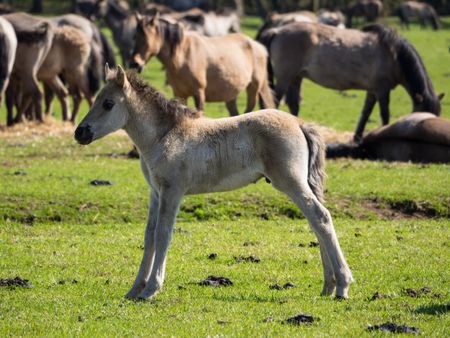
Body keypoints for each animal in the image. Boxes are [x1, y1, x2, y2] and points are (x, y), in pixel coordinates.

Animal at [74, 64, 356, 300]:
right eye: (96, 100)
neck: (165, 135)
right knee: (316, 222)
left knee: (320, 217)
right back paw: (328, 285)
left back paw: (342, 285)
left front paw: (151, 289)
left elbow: (163, 234)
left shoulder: (172, 192)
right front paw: (135, 289)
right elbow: (150, 235)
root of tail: (299, 123)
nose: (80, 133)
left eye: (108, 103)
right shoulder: (155, 192)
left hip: (290, 182)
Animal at [130, 13, 274, 116]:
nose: (135, 63)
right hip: (231, 95)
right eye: (135, 36)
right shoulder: (179, 93)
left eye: (146, 38)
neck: (183, 55)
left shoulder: (199, 92)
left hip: (254, 87)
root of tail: (259, 46)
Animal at [258, 22, 444, 141]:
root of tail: (276, 31)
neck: (394, 54)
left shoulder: (372, 90)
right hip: (285, 77)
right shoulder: (382, 90)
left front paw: (357, 137)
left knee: (293, 104)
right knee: (274, 101)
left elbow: (365, 112)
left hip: (296, 78)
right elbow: (384, 113)